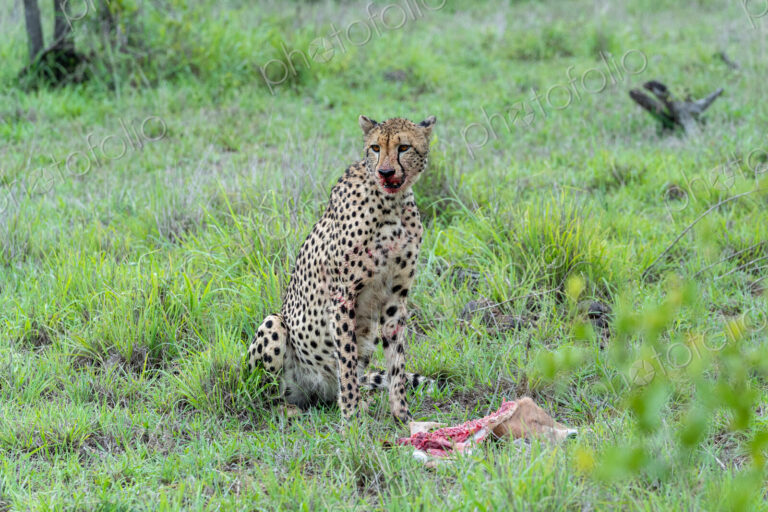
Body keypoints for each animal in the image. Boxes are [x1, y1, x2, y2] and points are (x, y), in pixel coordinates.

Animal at [246, 114, 438, 422]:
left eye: (404, 147)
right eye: (375, 147)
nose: (385, 172)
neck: (391, 204)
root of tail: (316, 392)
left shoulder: (395, 298)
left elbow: (396, 363)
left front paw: (403, 417)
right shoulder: (343, 297)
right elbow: (346, 361)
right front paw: (351, 421)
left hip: (368, 337)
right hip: (274, 324)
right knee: (265, 393)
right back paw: (287, 408)